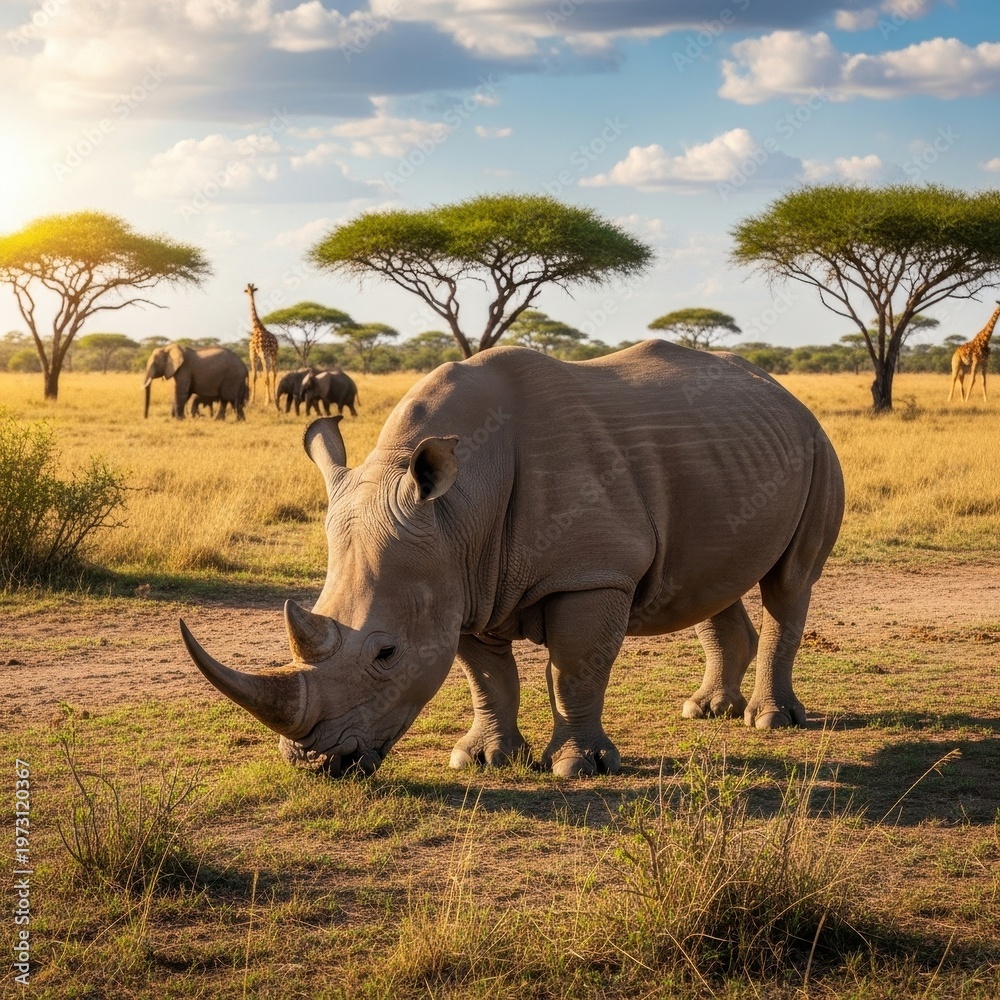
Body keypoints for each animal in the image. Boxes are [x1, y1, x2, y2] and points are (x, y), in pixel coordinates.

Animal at [181, 341, 844, 778]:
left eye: (386, 653)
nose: (314, 762)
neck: (458, 506)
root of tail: (784, 392)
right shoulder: (462, 577)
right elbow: (486, 675)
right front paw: (484, 759)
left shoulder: (591, 574)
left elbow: (575, 668)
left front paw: (578, 767)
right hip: (732, 453)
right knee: (709, 581)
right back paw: (707, 712)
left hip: (817, 445)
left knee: (790, 584)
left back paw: (769, 721)